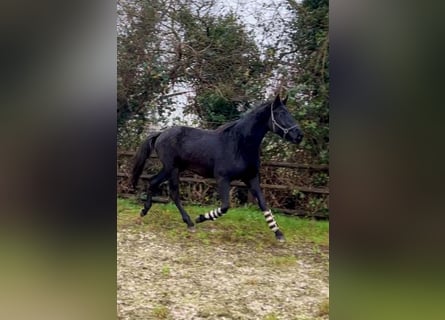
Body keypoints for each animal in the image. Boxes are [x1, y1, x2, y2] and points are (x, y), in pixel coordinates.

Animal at [131, 94, 302, 241]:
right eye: (280, 113)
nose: (299, 136)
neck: (239, 144)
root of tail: (160, 134)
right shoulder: (223, 179)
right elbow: (225, 207)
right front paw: (200, 217)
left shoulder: (251, 178)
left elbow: (263, 204)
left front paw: (278, 233)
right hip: (171, 168)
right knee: (172, 192)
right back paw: (189, 223)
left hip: (172, 169)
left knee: (154, 183)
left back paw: (144, 212)